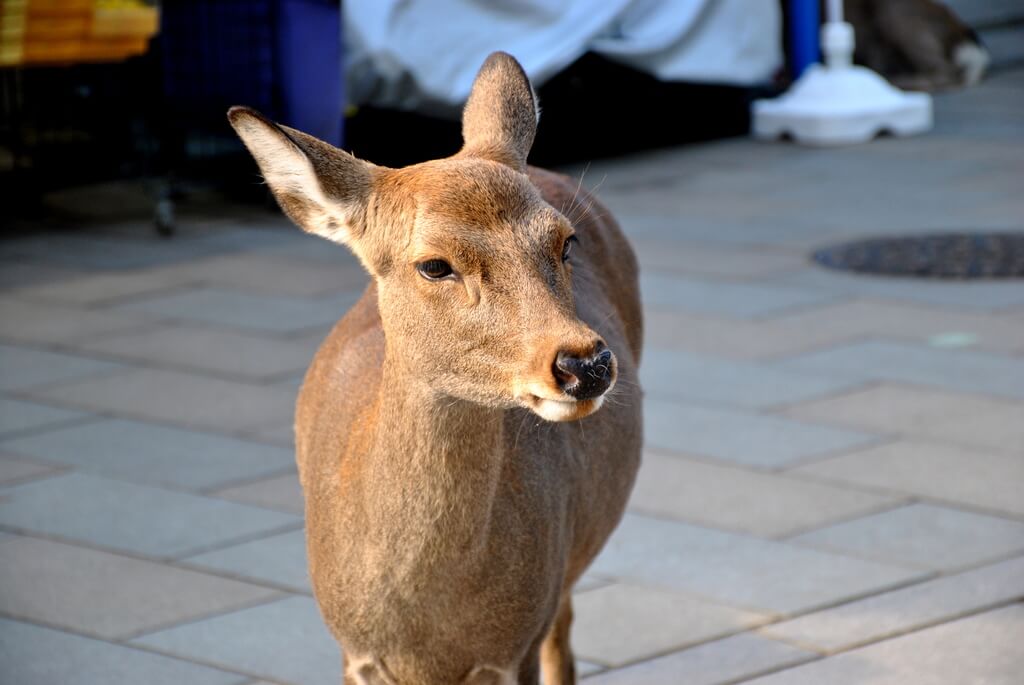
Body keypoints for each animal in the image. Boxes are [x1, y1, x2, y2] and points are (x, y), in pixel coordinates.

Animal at [230, 50, 638, 679]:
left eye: (565, 242)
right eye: (434, 265)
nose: (585, 364)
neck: (425, 633)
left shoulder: (515, 642)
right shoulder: (353, 650)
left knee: (564, 635)